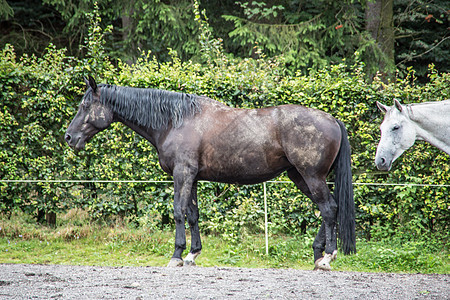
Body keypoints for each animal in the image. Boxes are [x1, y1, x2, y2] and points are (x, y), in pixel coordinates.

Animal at [65, 76, 356, 270]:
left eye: (85, 105)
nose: (69, 137)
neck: (175, 120)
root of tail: (332, 119)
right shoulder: (191, 178)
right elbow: (193, 214)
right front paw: (192, 254)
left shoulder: (182, 174)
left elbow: (178, 212)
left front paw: (176, 255)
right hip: (300, 176)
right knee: (328, 208)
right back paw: (318, 255)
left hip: (311, 176)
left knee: (328, 209)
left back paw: (327, 257)